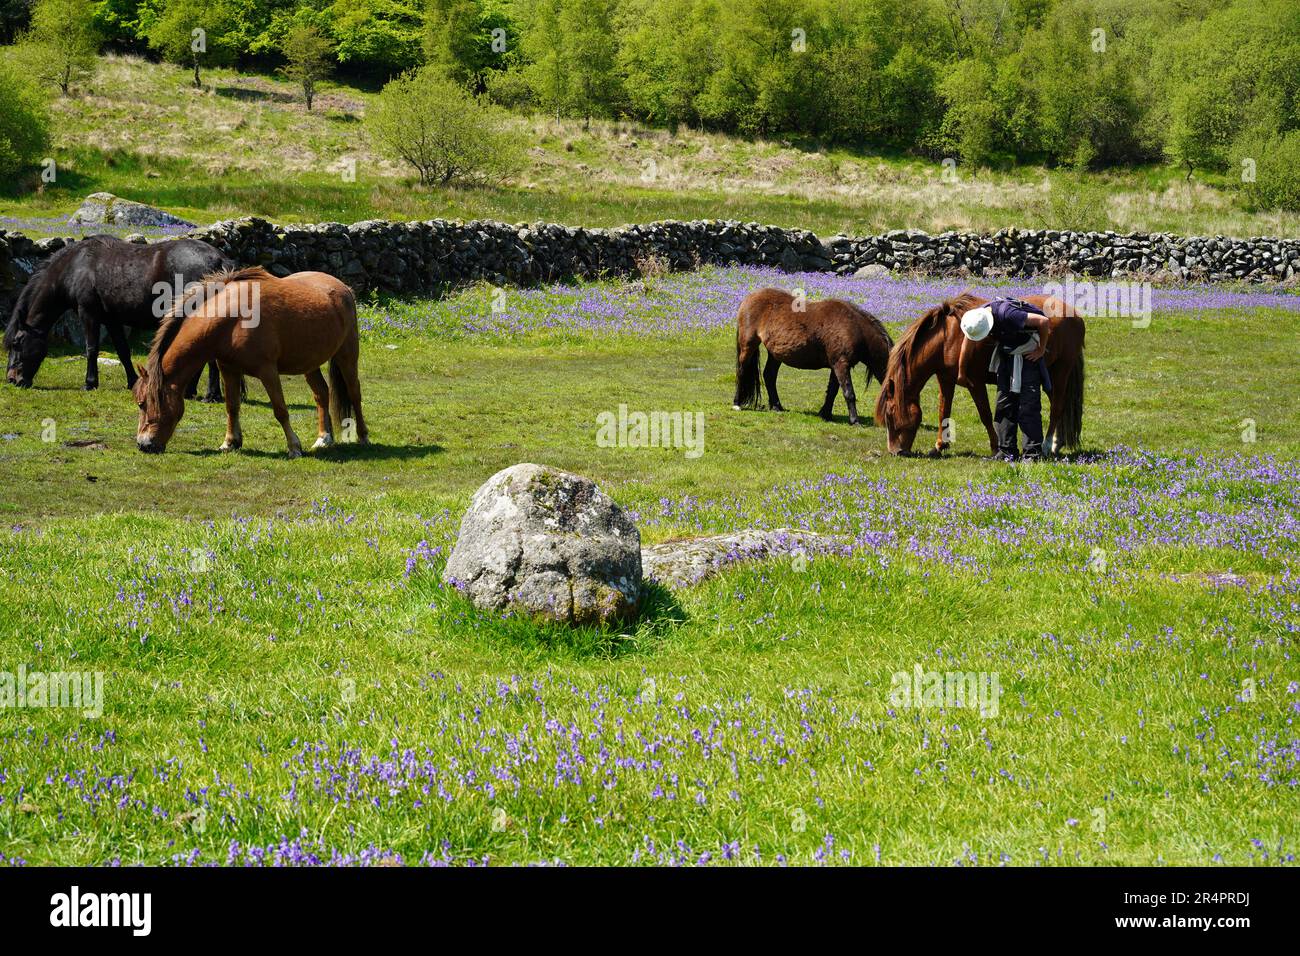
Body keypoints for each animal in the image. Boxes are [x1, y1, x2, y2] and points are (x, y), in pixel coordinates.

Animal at [5, 234, 230, 398]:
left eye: (16, 344)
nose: (11, 379)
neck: (76, 266)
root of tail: (218, 258)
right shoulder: (112, 320)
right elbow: (123, 351)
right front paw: (132, 382)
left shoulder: (89, 315)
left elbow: (91, 348)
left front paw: (90, 383)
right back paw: (194, 391)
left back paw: (210, 394)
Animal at [135, 261, 369, 455]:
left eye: (143, 403)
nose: (143, 445)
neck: (233, 320)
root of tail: (344, 288)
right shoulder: (228, 369)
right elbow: (232, 406)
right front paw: (230, 443)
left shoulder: (268, 371)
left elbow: (280, 410)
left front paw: (294, 447)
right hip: (309, 363)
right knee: (321, 393)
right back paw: (324, 438)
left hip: (347, 356)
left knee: (354, 393)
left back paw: (363, 436)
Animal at [733, 287, 894, 426]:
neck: (855, 328)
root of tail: (748, 298)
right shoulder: (841, 364)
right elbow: (848, 393)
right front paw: (854, 421)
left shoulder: (836, 365)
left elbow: (832, 391)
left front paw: (825, 414)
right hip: (748, 345)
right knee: (741, 371)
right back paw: (737, 403)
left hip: (776, 354)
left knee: (769, 376)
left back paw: (777, 407)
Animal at [873, 291, 1086, 455]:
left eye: (891, 414)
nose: (896, 451)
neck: (948, 339)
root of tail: (1075, 315)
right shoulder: (945, 380)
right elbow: (944, 411)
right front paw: (940, 445)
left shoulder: (974, 383)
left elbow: (985, 414)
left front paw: (995, 447)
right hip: (1049, 376)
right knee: (1059, 406)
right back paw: (1057, 444)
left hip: (1060, 372)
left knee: (1057, 406)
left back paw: (1048, 445)